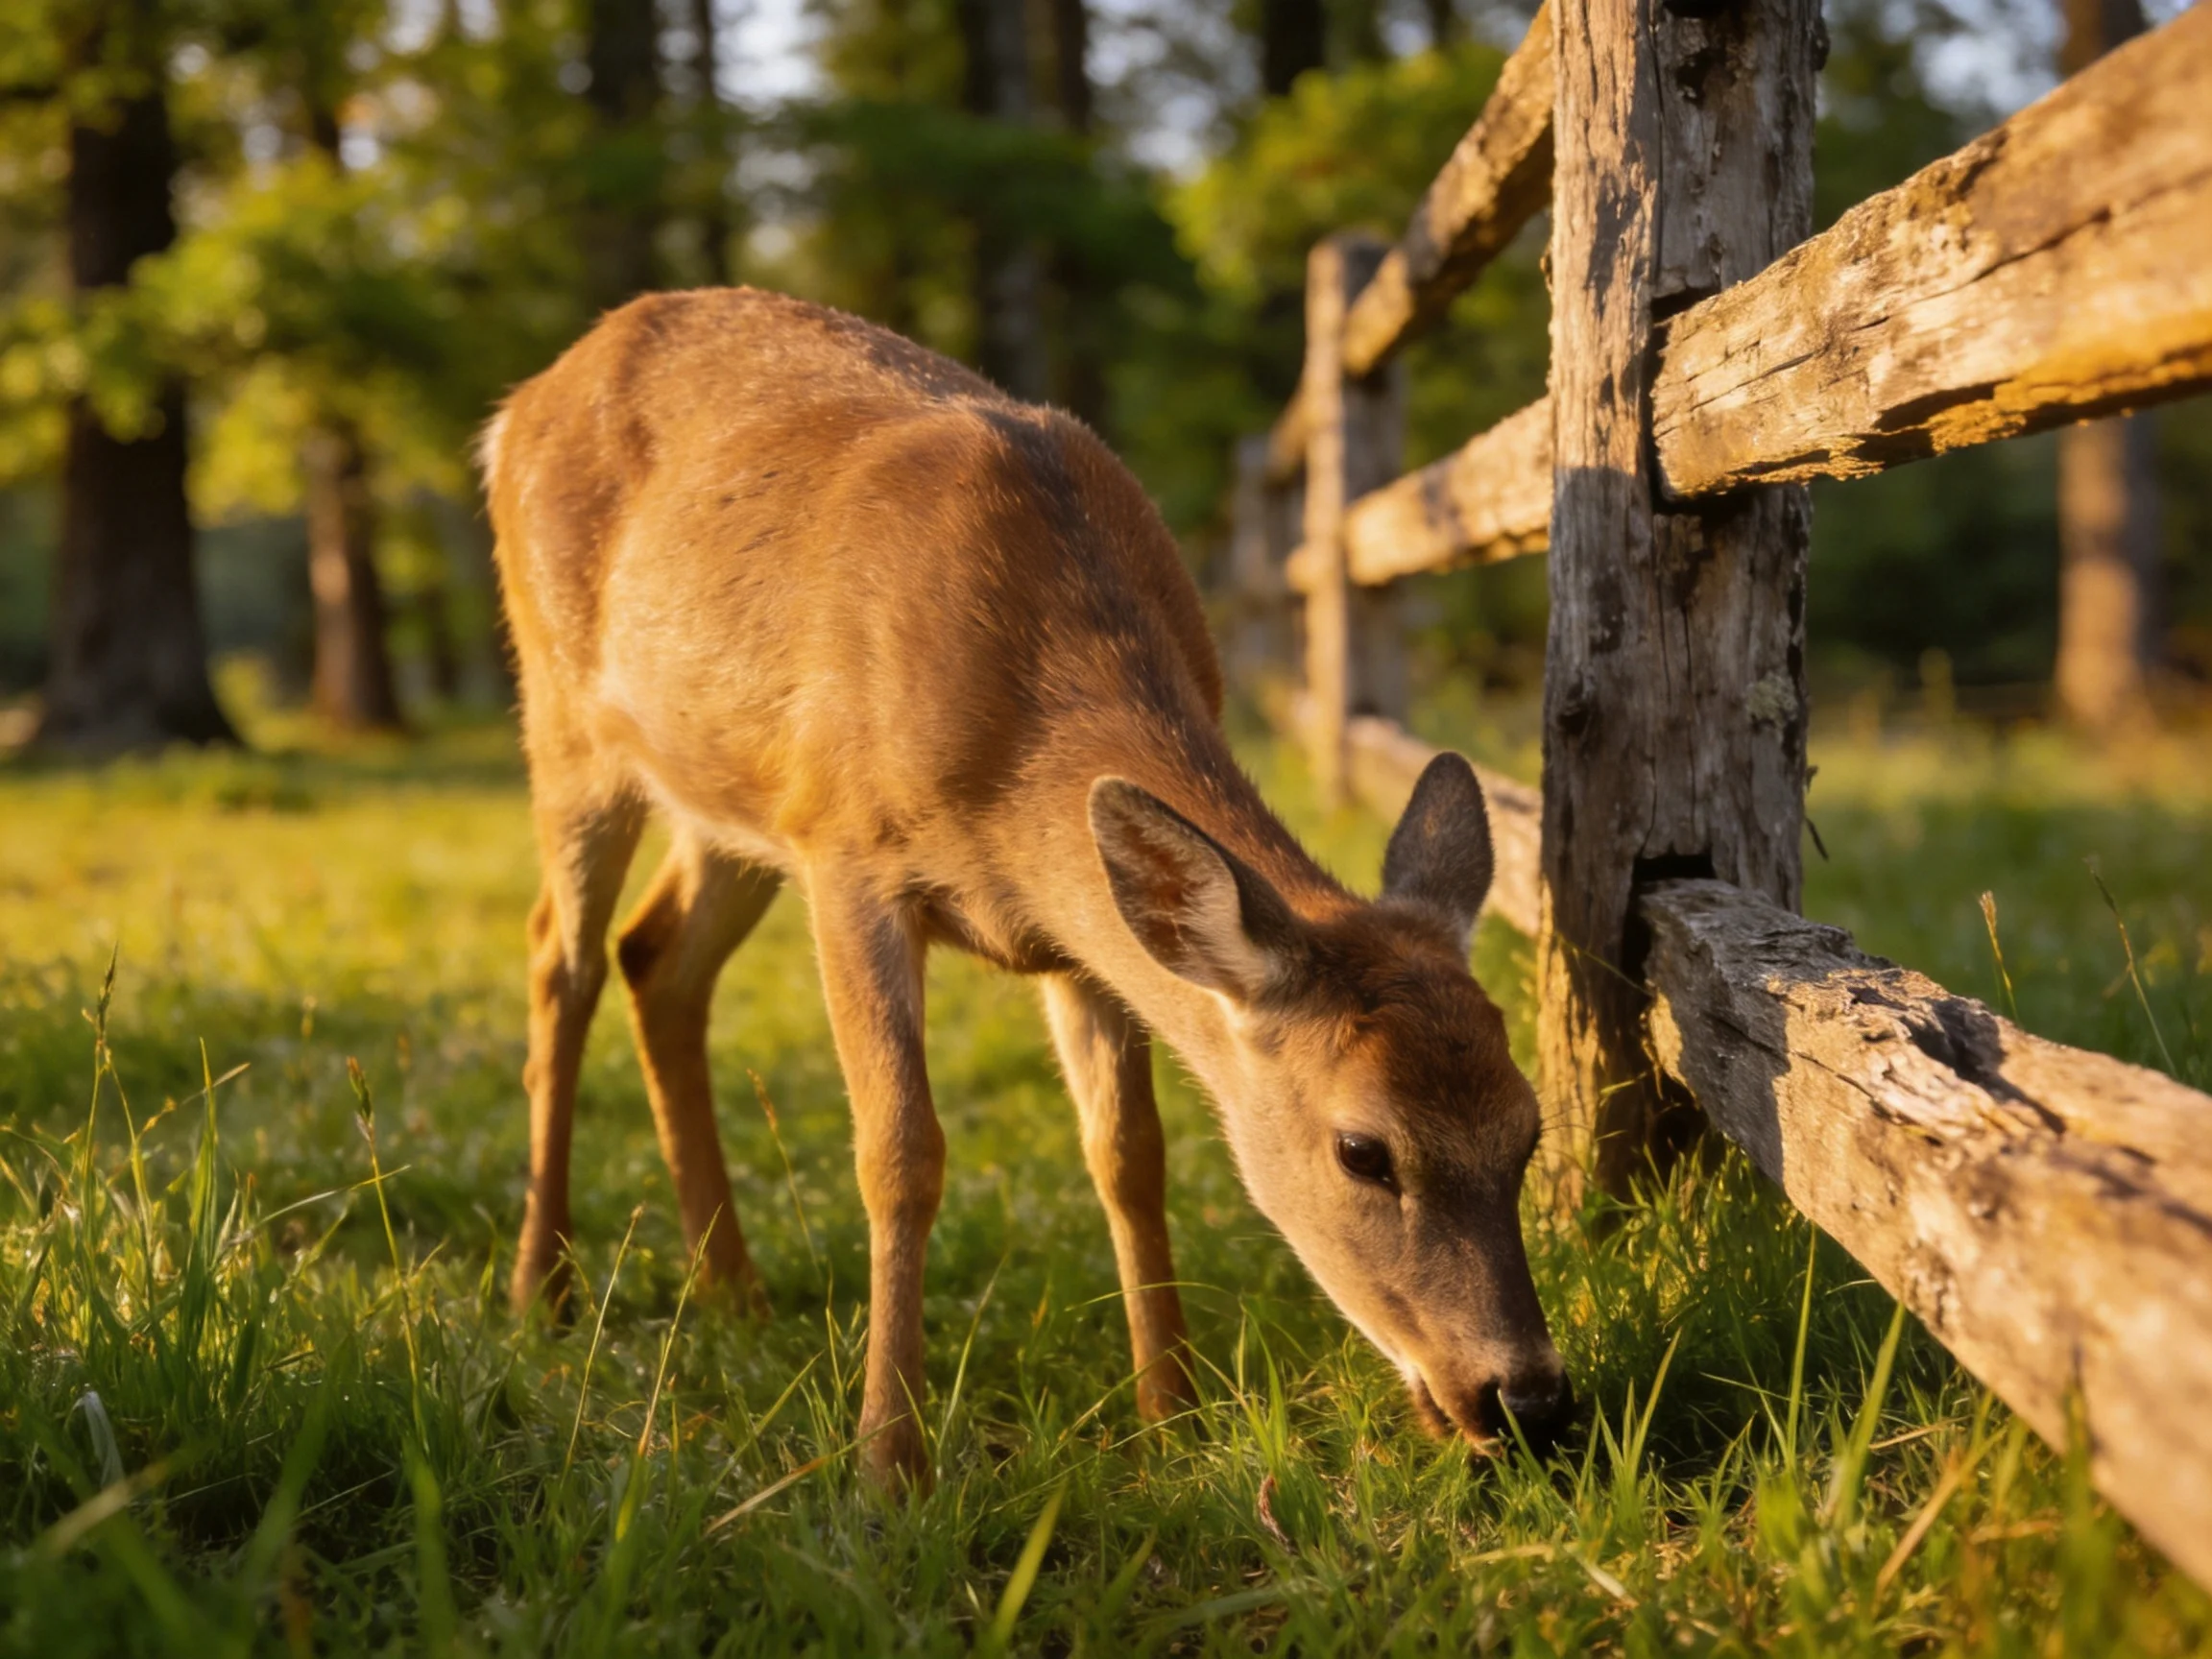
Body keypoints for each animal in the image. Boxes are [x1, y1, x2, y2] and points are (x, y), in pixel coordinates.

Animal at [480, 287, 1572, 1485]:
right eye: (1364, 1151)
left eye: (1528, 1130)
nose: (1523, 1399)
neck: (1015, 756)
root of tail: (516, 407)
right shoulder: (847, 851)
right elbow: (900, 1153)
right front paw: (889, 1461)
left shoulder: (1085, 936)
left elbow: (1130, 1155)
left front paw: (1171, 1414)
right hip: (565, 716)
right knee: (559, 956)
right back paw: (543, 1289)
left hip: (728, 798)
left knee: (656, 960)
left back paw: (732, 1290)